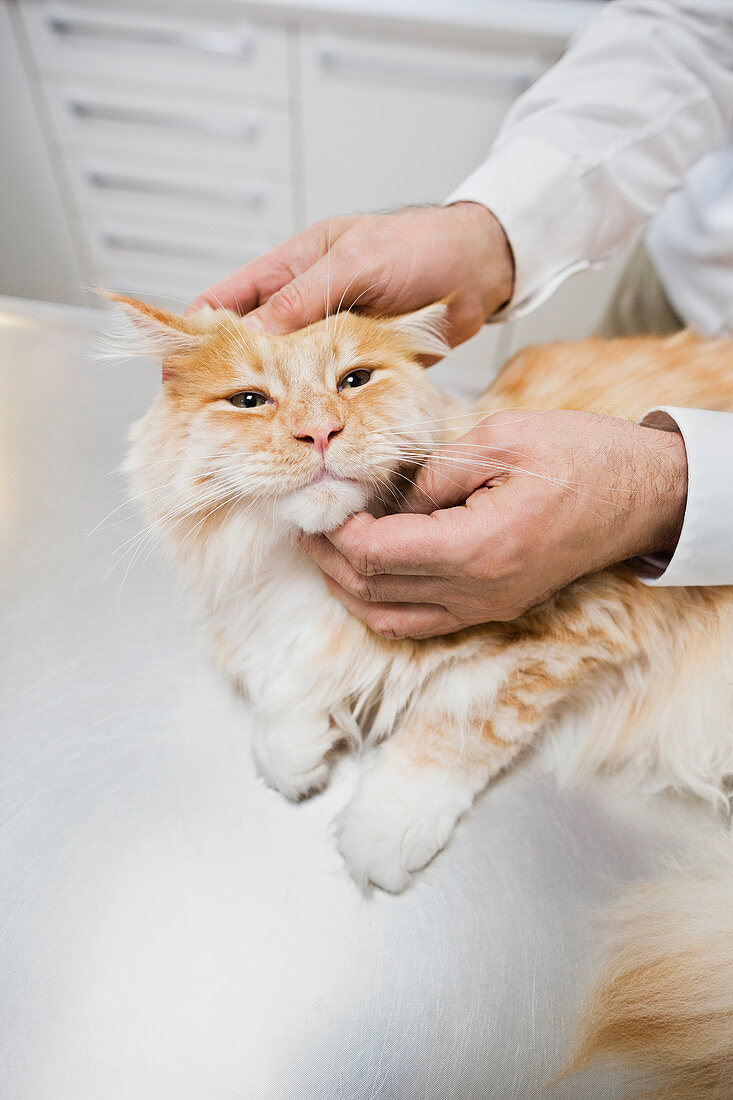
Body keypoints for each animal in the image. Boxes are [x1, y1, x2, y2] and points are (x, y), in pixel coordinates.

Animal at [115, 297, 730, 1095]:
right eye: (249, 400)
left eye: (354, 380)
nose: (320, 432)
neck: (296, 571)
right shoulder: (258, 626)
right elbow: (279, 699)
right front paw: (297, 754)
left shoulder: (575, 626)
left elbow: (454, 730)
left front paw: (382, 829)